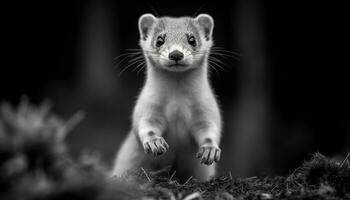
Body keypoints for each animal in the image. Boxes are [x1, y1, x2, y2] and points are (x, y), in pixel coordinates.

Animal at [112, 13, 221, 181]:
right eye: (160, 39)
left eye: (192, 39)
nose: (176, 53)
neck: (178, 103)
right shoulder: (147, 106)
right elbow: (145, 125)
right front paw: (155, 142)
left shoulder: (207, 108)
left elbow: (210, 130)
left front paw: (210, 149)